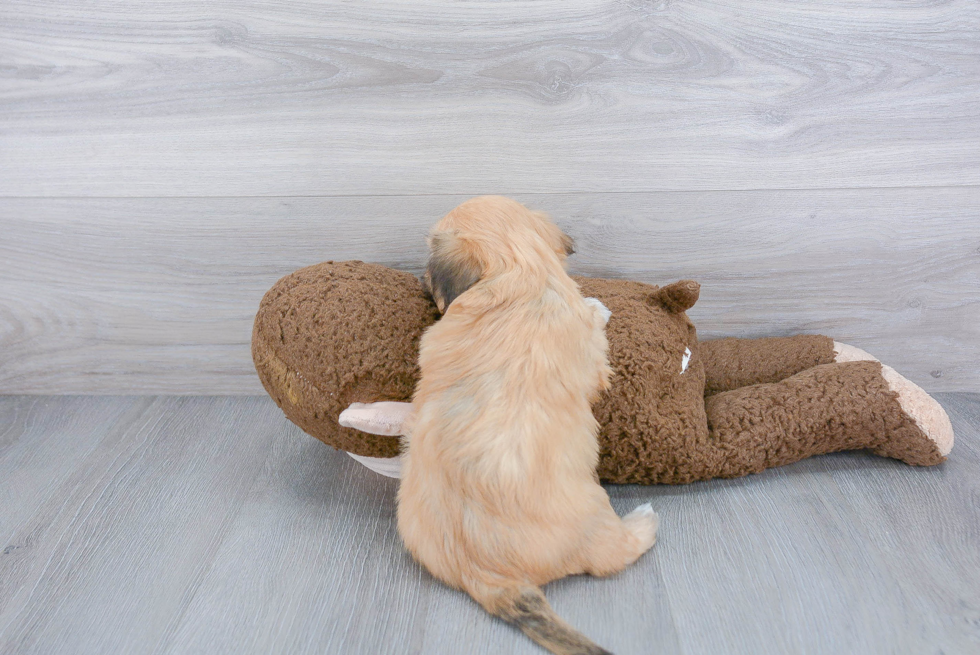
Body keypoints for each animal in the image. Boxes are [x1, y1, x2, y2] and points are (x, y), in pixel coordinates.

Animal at [398, 196, 660, 655]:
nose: (420, 277)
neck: (520, 272)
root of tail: (484, 577)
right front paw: (598, 308)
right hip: (597, 512)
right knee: (613, 556)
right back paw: (644, 522)